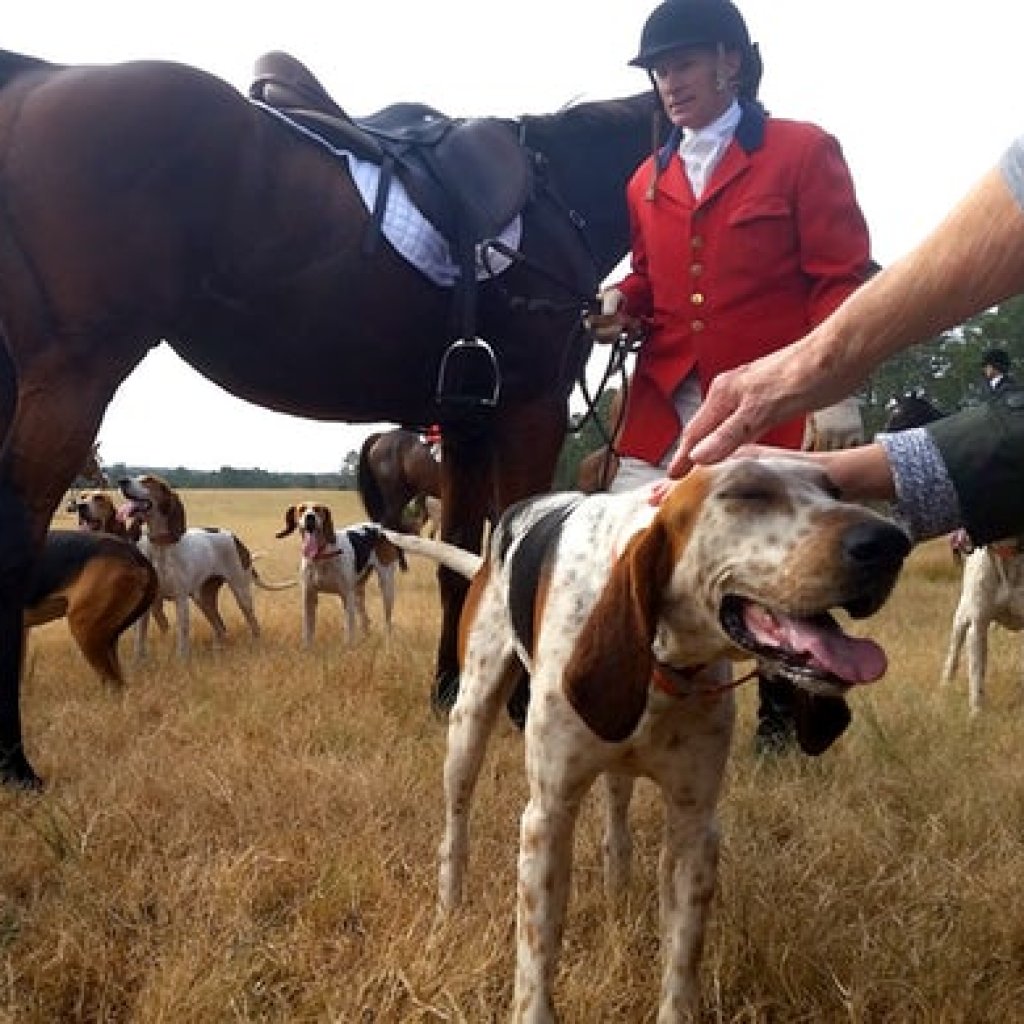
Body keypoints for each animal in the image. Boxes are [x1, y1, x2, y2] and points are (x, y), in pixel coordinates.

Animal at [0, 48, 655, 782]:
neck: (558, 191)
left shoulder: (467, 425)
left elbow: (458, 562)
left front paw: (448, 692)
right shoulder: (530, 409)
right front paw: (517, 711)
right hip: (73, 376)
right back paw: (14, 761)